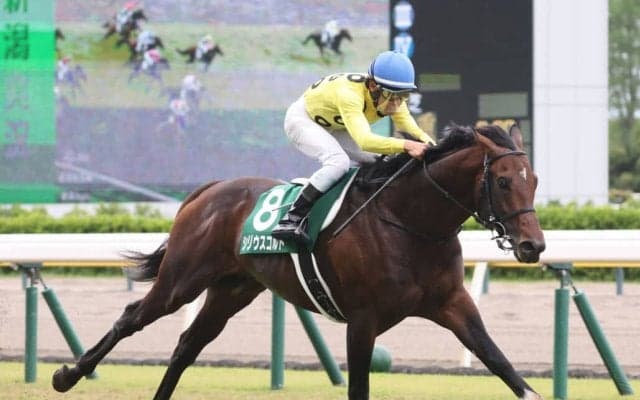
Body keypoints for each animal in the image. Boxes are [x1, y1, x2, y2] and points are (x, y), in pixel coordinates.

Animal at [51, 123, 546, 400]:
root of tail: (208, 190)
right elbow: (359, 388)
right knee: (132, 317)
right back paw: (68, 375)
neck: (409, 222)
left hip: (232, 289)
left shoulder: (452, 303)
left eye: (535, 180)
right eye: (503, 181)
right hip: (181, 280)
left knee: (188, 344)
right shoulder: (363, 319)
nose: (533, 246)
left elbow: (500, 363)